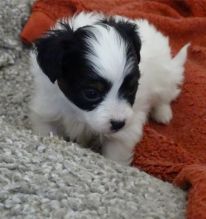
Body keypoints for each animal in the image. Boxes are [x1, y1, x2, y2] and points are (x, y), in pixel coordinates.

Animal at [29, 12, 189, 165]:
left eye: (131, 88)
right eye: (91, 93)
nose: (118, 123)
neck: (78, 113)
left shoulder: (124, 133)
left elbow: (115, 158)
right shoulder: (48, 111)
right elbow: (47, 131)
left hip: (164, 78)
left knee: (166, 95)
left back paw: (163, 113)